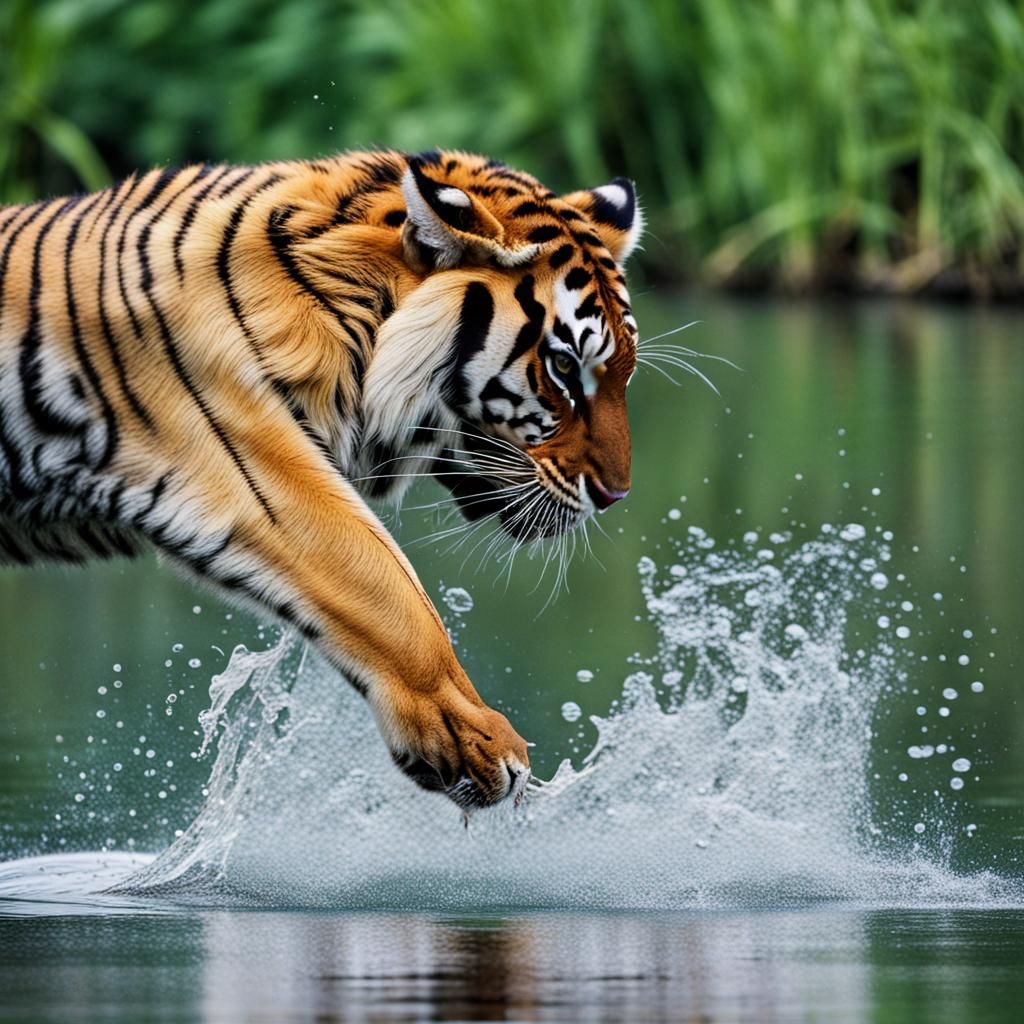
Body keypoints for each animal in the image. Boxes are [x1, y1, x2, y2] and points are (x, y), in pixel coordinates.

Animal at [0, 149, 642, 810]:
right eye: (563, 366)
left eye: (624, 371)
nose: (615, 494)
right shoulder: (244, 463)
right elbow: (387, 587)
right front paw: (479, 744)